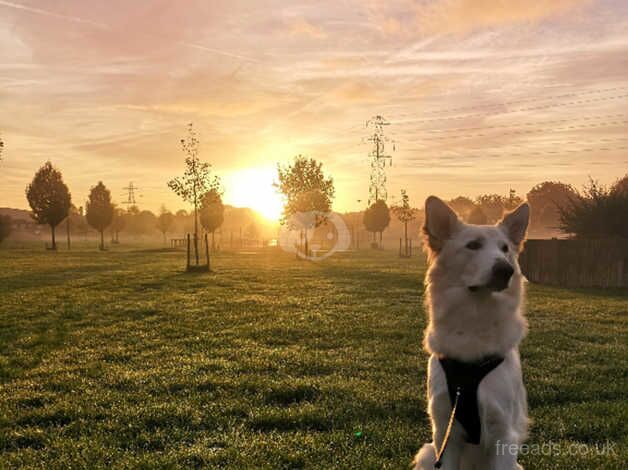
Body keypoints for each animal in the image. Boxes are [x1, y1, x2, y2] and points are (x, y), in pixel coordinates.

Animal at [412, 196, 528, 470]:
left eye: (505, 249)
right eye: (473, 245)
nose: (506, 270)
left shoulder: (503, 434)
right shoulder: (446, 433)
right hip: (428, 453)